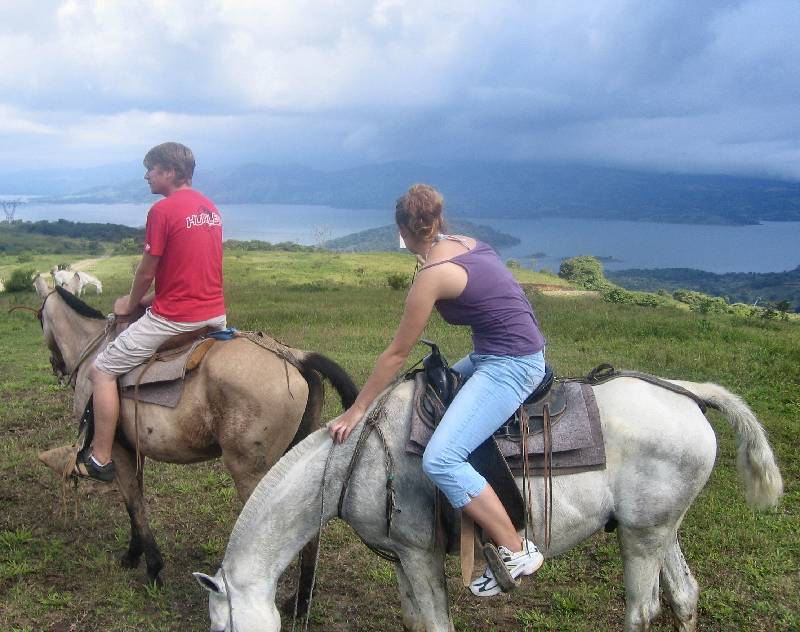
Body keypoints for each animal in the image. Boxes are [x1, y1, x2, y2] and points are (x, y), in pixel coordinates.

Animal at [32, 276, 356, 596]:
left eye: (39, 318)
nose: (55, 364)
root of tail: (292, 357)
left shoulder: (116, 449)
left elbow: (133, 504)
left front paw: (151, 566)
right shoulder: (134, 450)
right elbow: (134, 499)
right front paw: (135, 554)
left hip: (250, 472)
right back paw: (297, 601)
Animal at [194, 378, 780, 628]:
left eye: (223, 627)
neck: (355, 459)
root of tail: (686, 392)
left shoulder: (420, 556)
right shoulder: (406, 559)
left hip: (642, 539)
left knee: (642, 610)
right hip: (659, 529)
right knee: (683, 597)